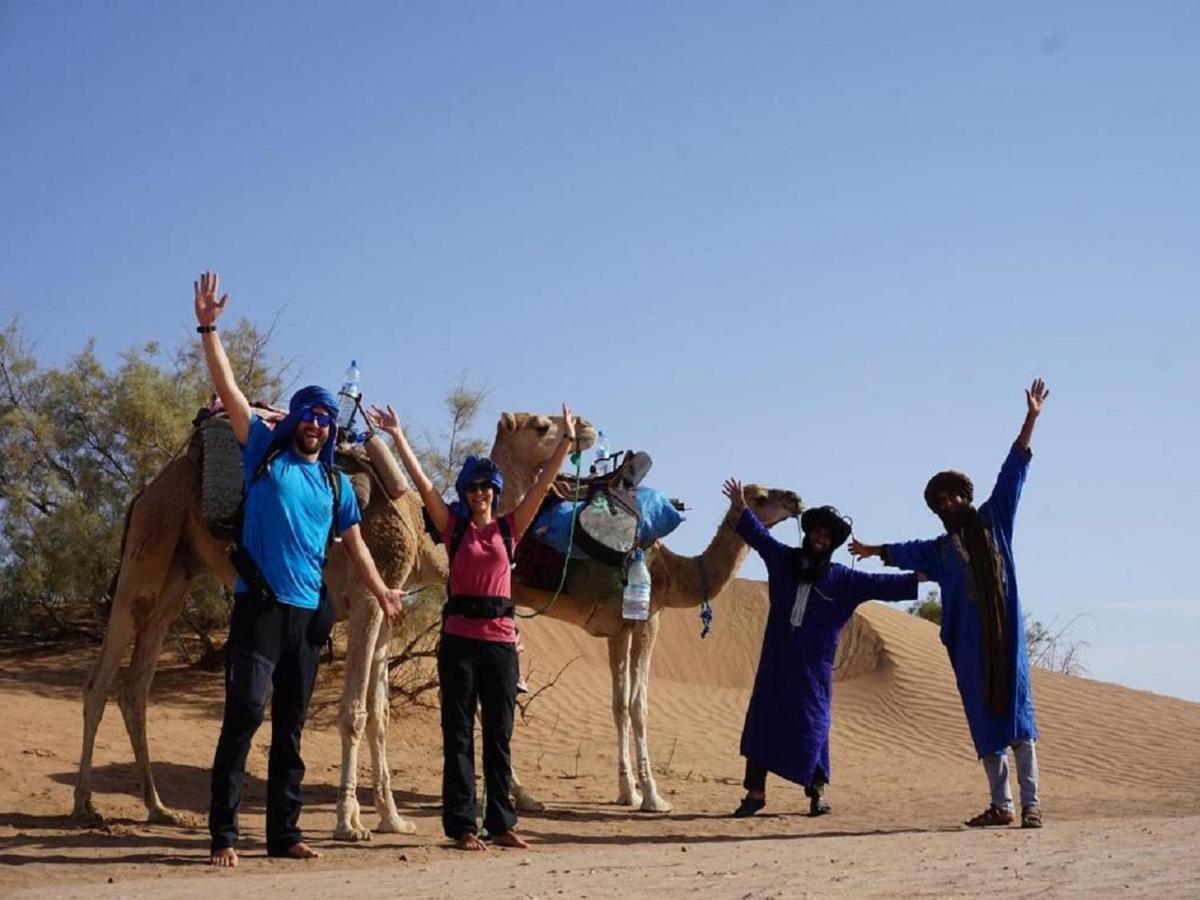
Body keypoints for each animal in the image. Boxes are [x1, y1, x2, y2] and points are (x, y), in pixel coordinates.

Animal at [72, 408, 588, 840]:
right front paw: (348, 823)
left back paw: (159, 809)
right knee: (99, 680)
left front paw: (393, 819)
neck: (425, 537)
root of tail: (143, 492)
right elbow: (354, 712)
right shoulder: (367, 599)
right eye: (542, 425)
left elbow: (380, 715)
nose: (584, 427)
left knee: (136, 687)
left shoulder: (387, 609)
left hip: (179, 572)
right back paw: (85, 806)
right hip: (148, 550)